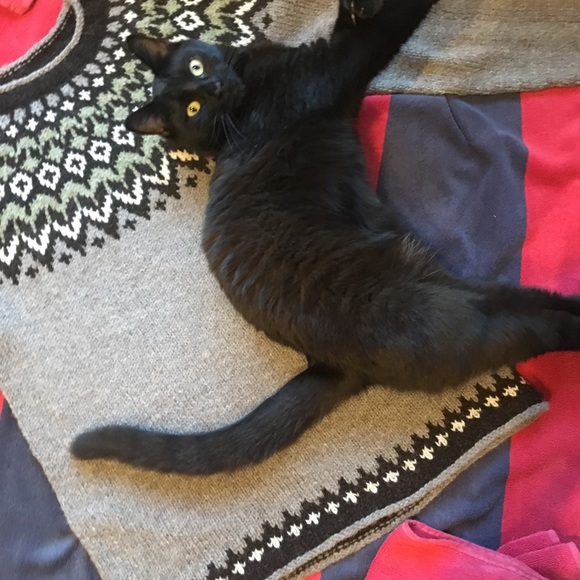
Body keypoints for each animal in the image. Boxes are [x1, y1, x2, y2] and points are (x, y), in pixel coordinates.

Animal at [71, 0, 580, 475]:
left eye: (196, 68)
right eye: (194, 108)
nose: (213, 87)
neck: (244, 94)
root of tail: (327, 361)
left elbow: (352, 18)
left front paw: (356, 4)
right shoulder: (338, 61)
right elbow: (391, 20)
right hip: (451, 311)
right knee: (535, 323)